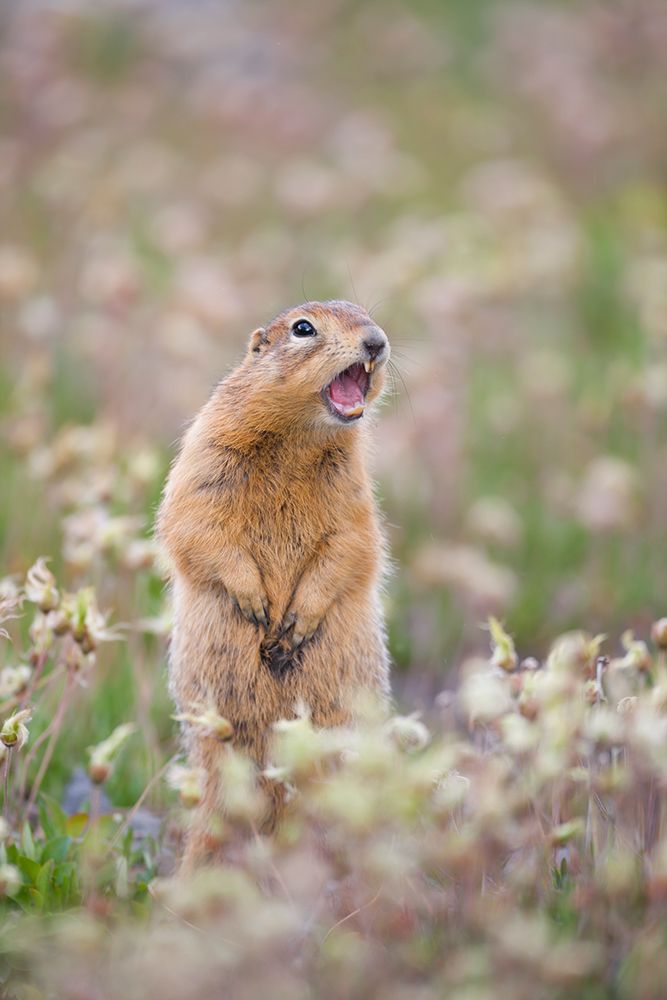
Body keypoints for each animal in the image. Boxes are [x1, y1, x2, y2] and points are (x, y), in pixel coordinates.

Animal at [157, 300, 391, 868]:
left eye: (366, 313)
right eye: (303, 328)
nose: (376, 342)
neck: (301, 436)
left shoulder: (355, 487)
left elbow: (351, 542)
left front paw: (295, 622)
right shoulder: (207, 450)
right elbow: (195, 519)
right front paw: (255, 603)